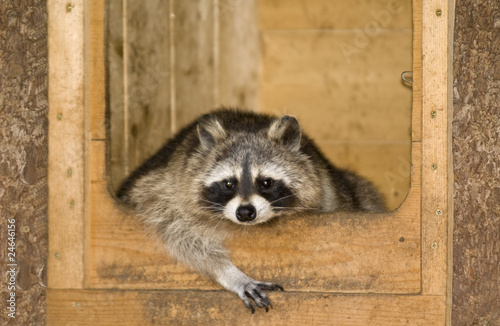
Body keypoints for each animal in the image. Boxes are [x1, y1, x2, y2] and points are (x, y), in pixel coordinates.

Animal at [117, 109, 386, 314]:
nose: (245, 212)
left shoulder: (331, 190)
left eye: (265, 182)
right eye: (229, 183)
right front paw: (230, 274)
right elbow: (179, 234)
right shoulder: (163, 189)